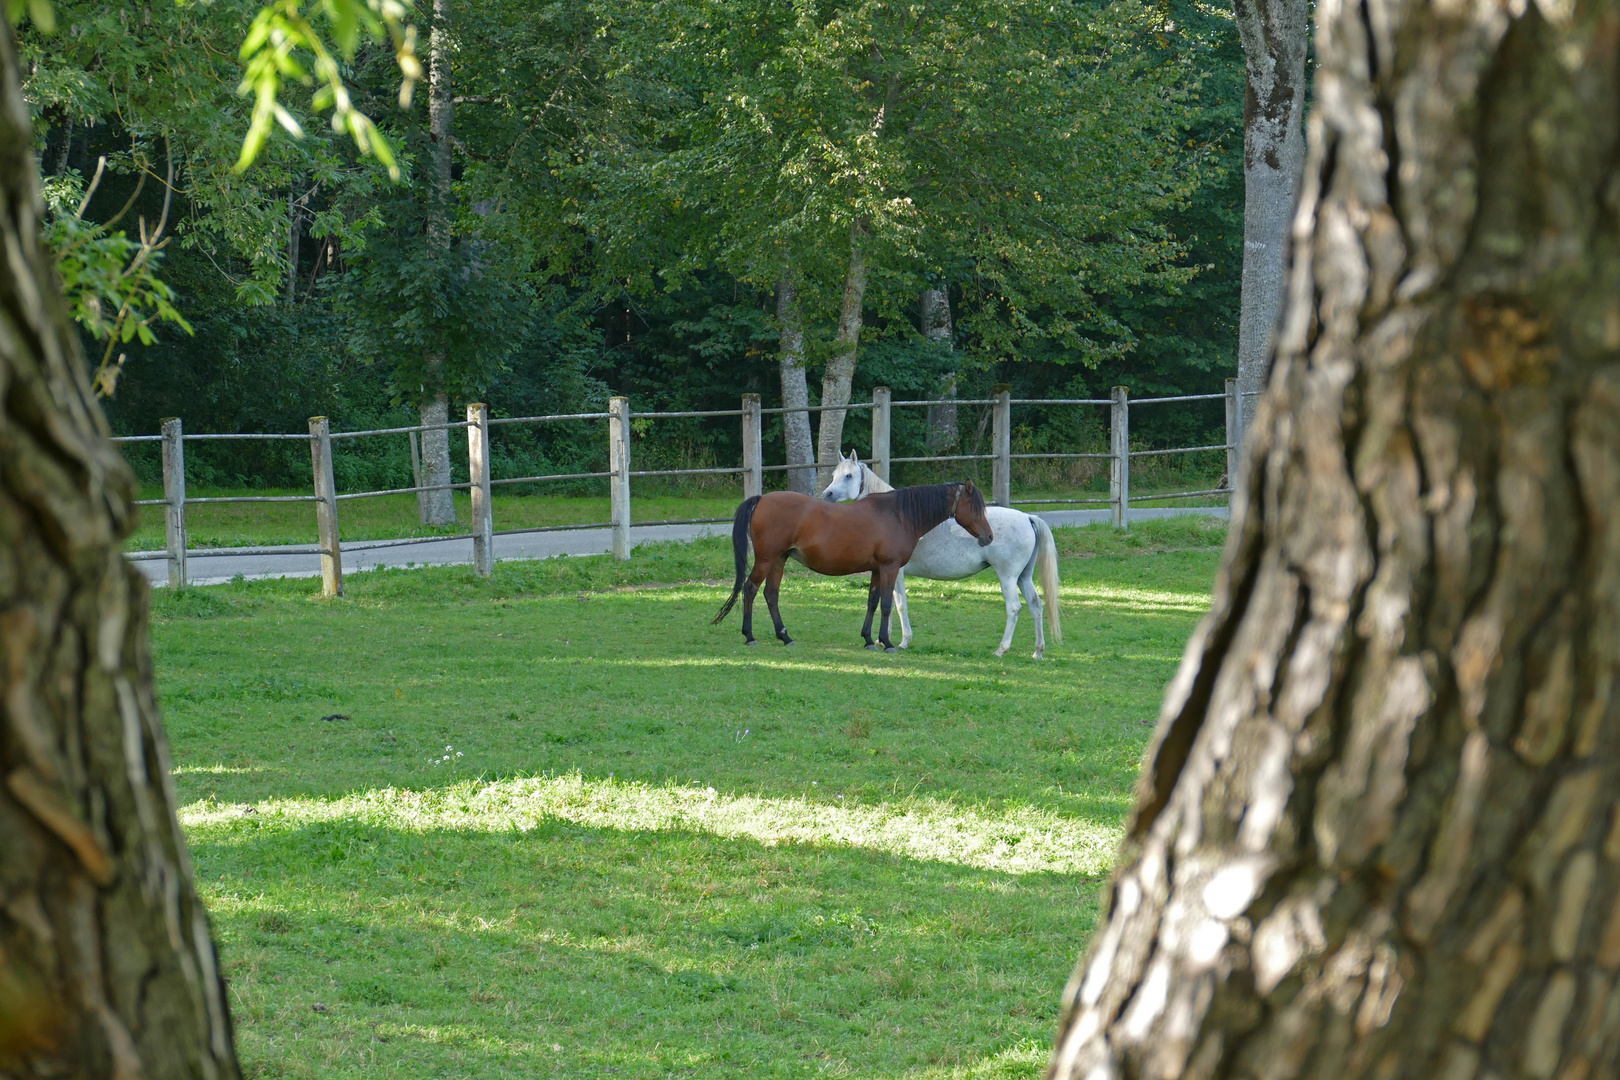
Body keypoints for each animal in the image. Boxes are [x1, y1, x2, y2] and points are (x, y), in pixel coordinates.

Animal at [712, 482, 991, 650]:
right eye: (976, 508)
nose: (989, 537)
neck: (899, 515)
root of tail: (761, 499)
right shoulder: (889, 568)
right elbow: (887, 604)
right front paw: (887, 642)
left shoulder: (877, 570)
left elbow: (873, 602)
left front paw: (868, 639)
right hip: (767, 559)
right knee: (750, 589)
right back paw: (749, 636)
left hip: (780, 559)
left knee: (771, 594)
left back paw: (785, 636)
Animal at [822, 450, 1062, 660]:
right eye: (834, 475)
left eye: (849, 475)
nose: (827, 494)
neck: (899, 515)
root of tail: (1028, 518)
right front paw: (882, 640)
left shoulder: (895, 572)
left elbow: (898, 604)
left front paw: (899, 641)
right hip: (1023, 577)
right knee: (1036, 606)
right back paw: (1038, 651)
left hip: (1008, 578)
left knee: (1014, 608)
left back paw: (1001, 650)